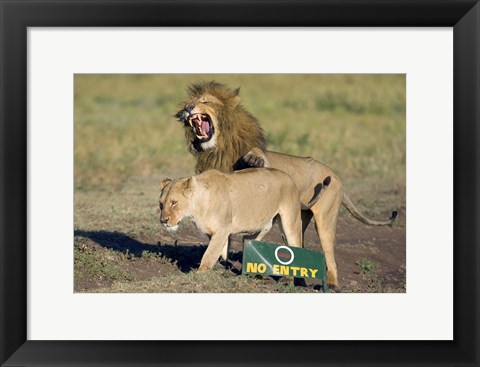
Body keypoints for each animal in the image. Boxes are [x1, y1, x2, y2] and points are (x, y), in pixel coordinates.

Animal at [159, 169, 328, 274]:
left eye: (174, 203)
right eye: (161, 204)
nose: (163, 221)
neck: (196, 208)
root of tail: (289, 178)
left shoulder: (222, 229)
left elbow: (209, 254)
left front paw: (199, 273)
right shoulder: (215, 232)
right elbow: (221, 250)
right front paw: (223, 265)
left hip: (290, 222)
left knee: (296, 245)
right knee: (252, 238)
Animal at [176, 82, 398, 288]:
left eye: (205, 101)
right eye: (190, 102)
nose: (188, 108)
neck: (218, 149)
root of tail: (336, 176)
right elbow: (224, 240)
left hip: (324, 220)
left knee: (329, 255)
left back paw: (331, 285)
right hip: (296, 218)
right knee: (297, 248)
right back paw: (295, 280)